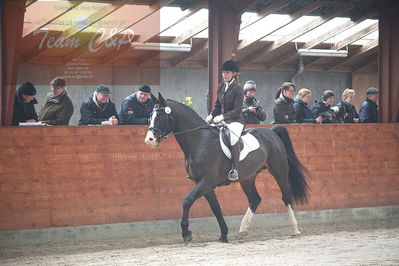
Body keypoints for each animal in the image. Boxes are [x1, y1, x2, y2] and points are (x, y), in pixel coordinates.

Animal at [145, 93, 310, 243]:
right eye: (150, 117)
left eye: (161, 116)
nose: (149, 140)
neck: (200, 142)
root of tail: (272, 133)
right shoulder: (204, 184)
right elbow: (216, 208)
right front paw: (223, 235)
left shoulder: (207, 181)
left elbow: (187, 200)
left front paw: (186, 233)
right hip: (247, 178)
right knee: (255, 199)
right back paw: (243, 229)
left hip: (279, 171)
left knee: (286, 197)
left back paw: (295, 230)